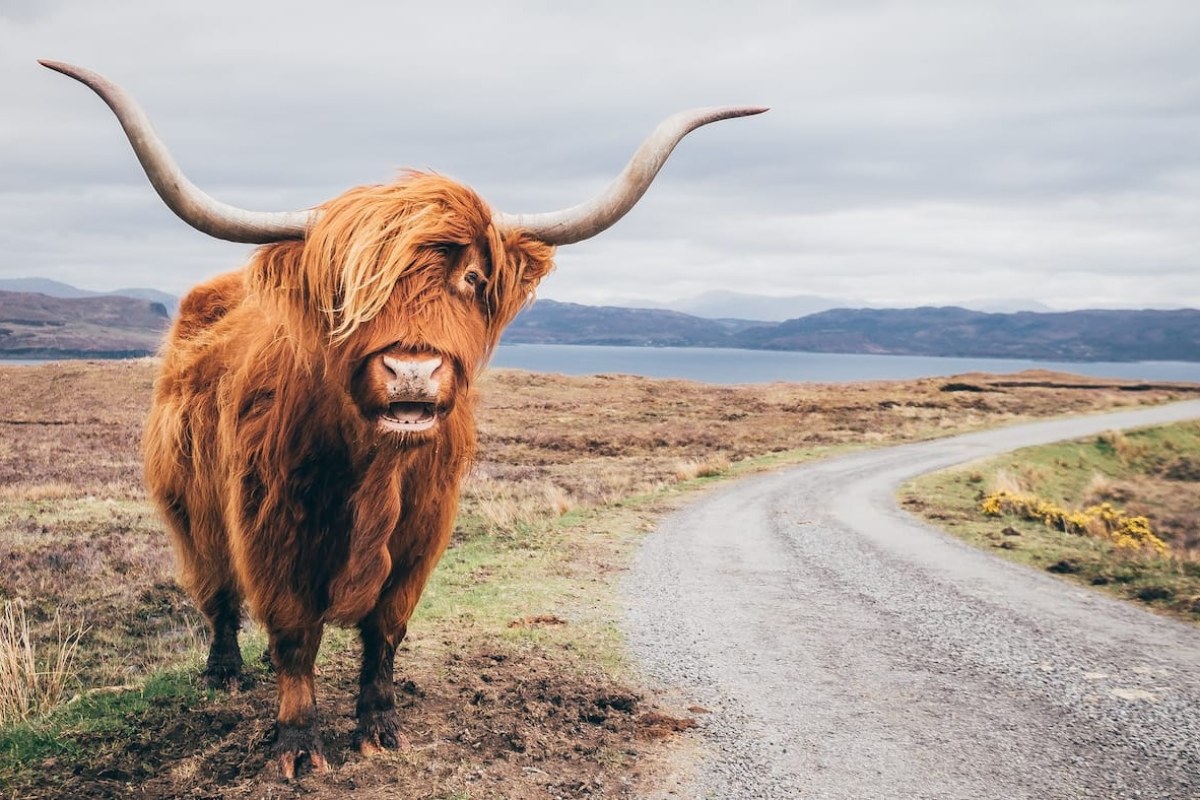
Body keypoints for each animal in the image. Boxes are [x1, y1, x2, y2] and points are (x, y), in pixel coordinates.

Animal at [41, 59, 764, 778]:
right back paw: (223, 672)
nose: (411, 372)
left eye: (472, 278)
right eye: (346, 292)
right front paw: (298, 745)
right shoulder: (270, 528)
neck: (374, 472)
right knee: (215, 589)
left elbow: (385, 632)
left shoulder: (423, 533)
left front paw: (379, 729)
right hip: (190, 505)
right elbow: (293, 635)